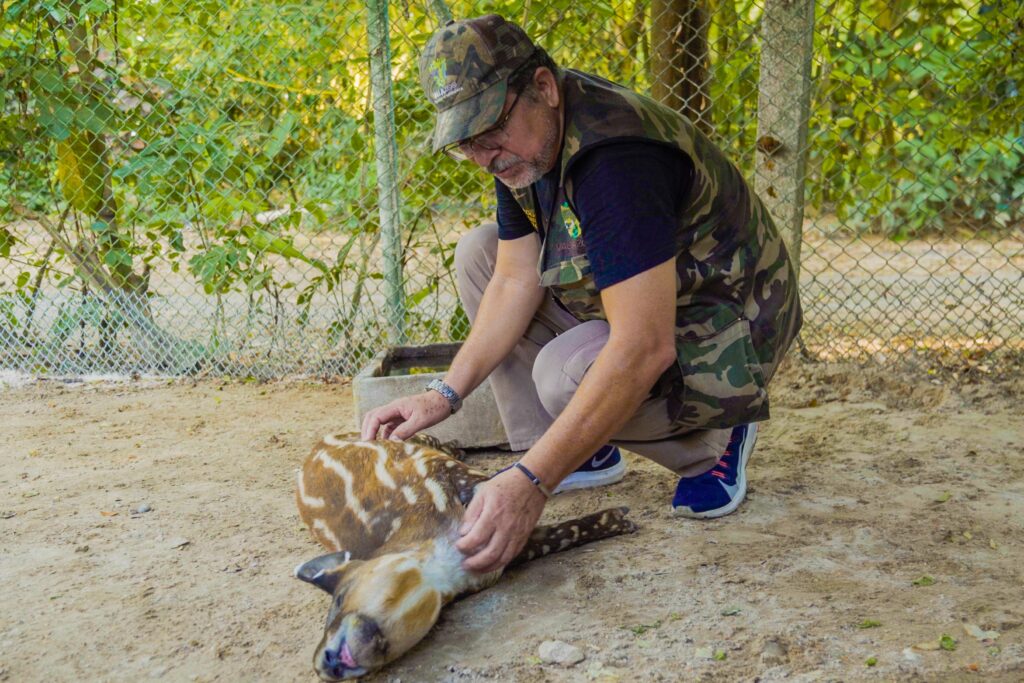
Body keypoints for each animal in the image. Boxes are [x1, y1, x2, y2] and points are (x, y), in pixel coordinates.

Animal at [292, 436, 634, 679]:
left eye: (339, 597)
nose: (321, 666)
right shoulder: (503, 554)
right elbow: (557, 537)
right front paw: (624, 519)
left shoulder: (453, 481)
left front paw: (627, 520)